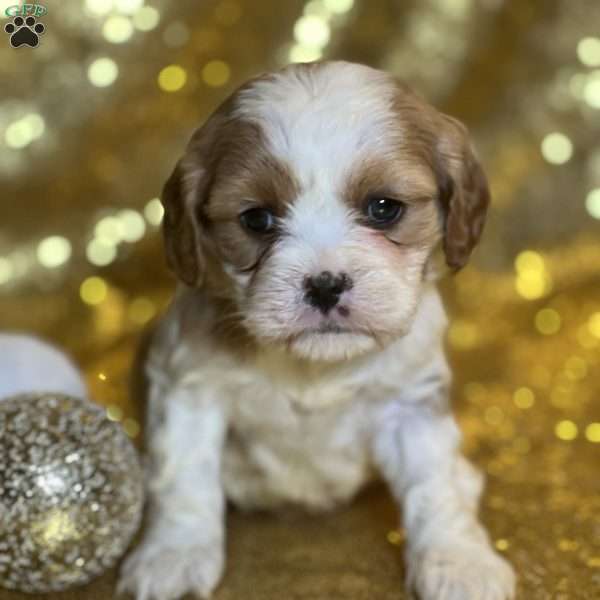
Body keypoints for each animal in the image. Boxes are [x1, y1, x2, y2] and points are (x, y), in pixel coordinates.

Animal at [118, 61, 516, 600]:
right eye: (257, 219)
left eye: (384, 208)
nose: (325, 284)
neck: (314, 366)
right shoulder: (188, 386)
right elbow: (183, 476)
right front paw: (173, 556)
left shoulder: (410, 402)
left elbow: (434, 484)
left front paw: (458, 561)